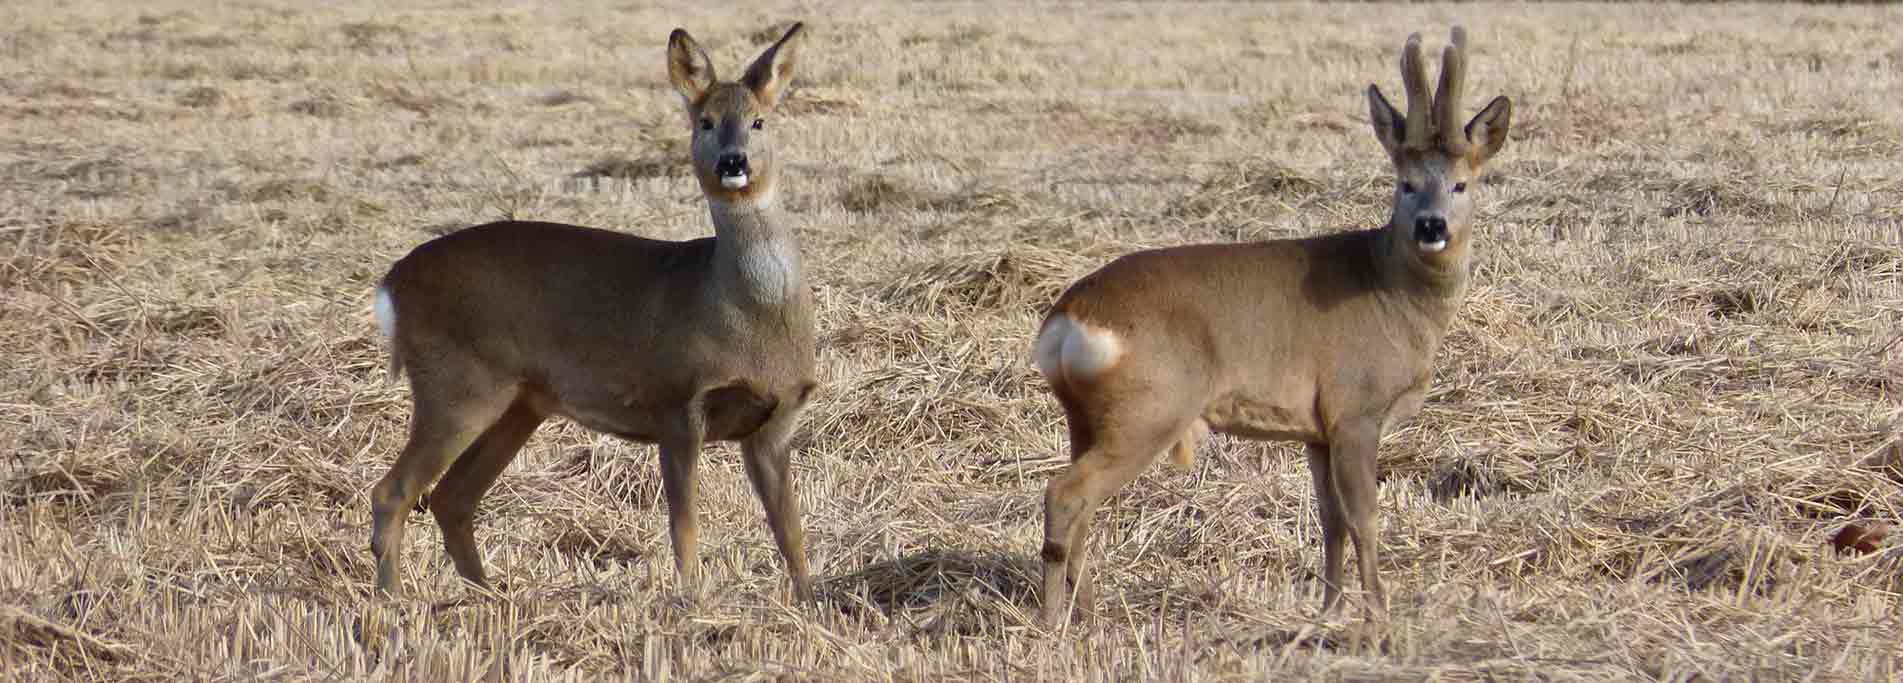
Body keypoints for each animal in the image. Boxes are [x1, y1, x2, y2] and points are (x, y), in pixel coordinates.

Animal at [369, 22, 818, 601]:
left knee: (451, 497)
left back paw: (491, 597)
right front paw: (688, 599)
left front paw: (812, 602)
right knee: (394, 491)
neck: (744, 311)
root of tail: (393, 283)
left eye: (759, 120)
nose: (733, 162)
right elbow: (684, 523)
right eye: (705, 121)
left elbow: (791, 530)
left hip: (520, 402)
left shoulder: (776, 420)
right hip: (455, 383)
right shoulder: (676, 401)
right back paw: (394, 602)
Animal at [1035, 26, 1507, 627]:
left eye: (1462, 184)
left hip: (1087, 417)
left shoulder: (1316, 428)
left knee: (1082, 507)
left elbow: (1330, 518)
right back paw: (1054, 624)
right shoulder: (1355, 409)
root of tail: (1067, 318)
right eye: (1405, 183)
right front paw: (1379, 616)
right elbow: (1364, 516)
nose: (1431, 226)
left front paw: (1330, 609)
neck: (1391, 290)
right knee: (1066, 495)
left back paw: (1092, 613)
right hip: (1149, 409)